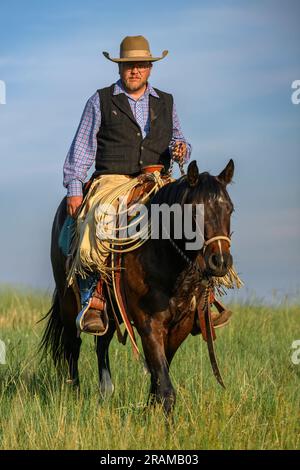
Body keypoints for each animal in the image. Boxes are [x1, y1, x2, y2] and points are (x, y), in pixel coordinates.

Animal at [41, 160, 234, 414]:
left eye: (230, 209)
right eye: (194, 210)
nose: (220, 261)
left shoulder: (180, 326)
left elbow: (159, 374)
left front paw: (150, 409)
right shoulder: (148, 323)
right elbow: (165, 386)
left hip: (111, 312)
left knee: (101, 343)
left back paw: (106, 390)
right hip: (68, 303)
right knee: (73, 345)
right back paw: (74, 392)